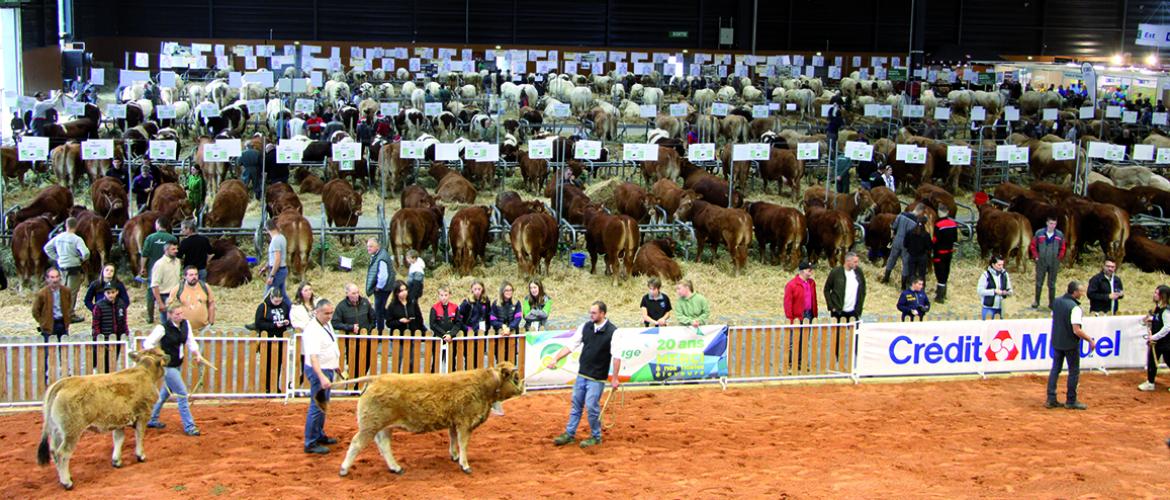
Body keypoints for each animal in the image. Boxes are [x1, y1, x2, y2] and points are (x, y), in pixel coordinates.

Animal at [38, 348, 170, 489]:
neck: (144, 372)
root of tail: (63, 383)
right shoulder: (143, 415)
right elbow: (139, 435)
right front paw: (141, 456)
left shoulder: (119, 419)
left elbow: (119, 439)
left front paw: (116, 461)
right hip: (72, 431)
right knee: (62, 453)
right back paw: (67, 482)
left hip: (56, 430)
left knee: (53, 451)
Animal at [334, 362, 526, 475]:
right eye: (515, 377)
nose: (523, 388)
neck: (484, 386)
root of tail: (378, 377)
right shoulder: (465, 423)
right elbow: (463, 443)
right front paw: (465, 465)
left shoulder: (454, 422)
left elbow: (453, 439)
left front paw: (454, 455)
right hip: (370, 425)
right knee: (357, 443)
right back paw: (344, 468)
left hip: (383, 427)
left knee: (384, 445)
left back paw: (396, 467)